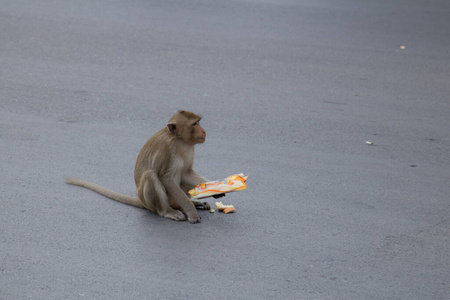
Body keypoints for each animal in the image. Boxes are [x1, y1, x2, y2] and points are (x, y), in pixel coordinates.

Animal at [64, 110, 223, 223]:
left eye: (198, 122)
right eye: (195, 124)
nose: (203, 131)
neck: (179, 142)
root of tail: (142, 201)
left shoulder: (190, 150)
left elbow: (186, 173)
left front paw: (215, 189)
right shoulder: (166, 149)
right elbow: (165, 178)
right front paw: (191, 212)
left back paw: (195, 203)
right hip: (151, 201)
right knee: (150, 175)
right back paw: (169, 211)